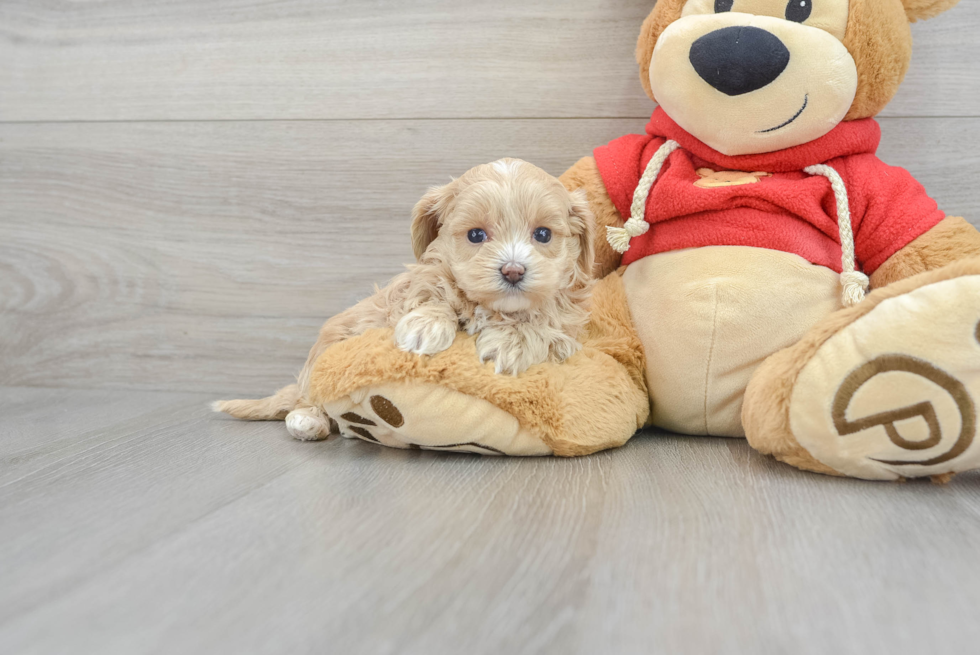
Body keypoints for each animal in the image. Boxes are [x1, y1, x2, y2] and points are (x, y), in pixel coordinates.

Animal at [216, 160, 596, 440]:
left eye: (543, 234)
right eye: (476, 235)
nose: (513, 271)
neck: (489, 308)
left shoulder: (567, 329)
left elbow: (543, 321)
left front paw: (511, 341)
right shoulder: (412, 287)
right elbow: (431, 292)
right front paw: (425, 326)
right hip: (321, 359)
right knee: (310, 399)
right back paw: (309, 420)